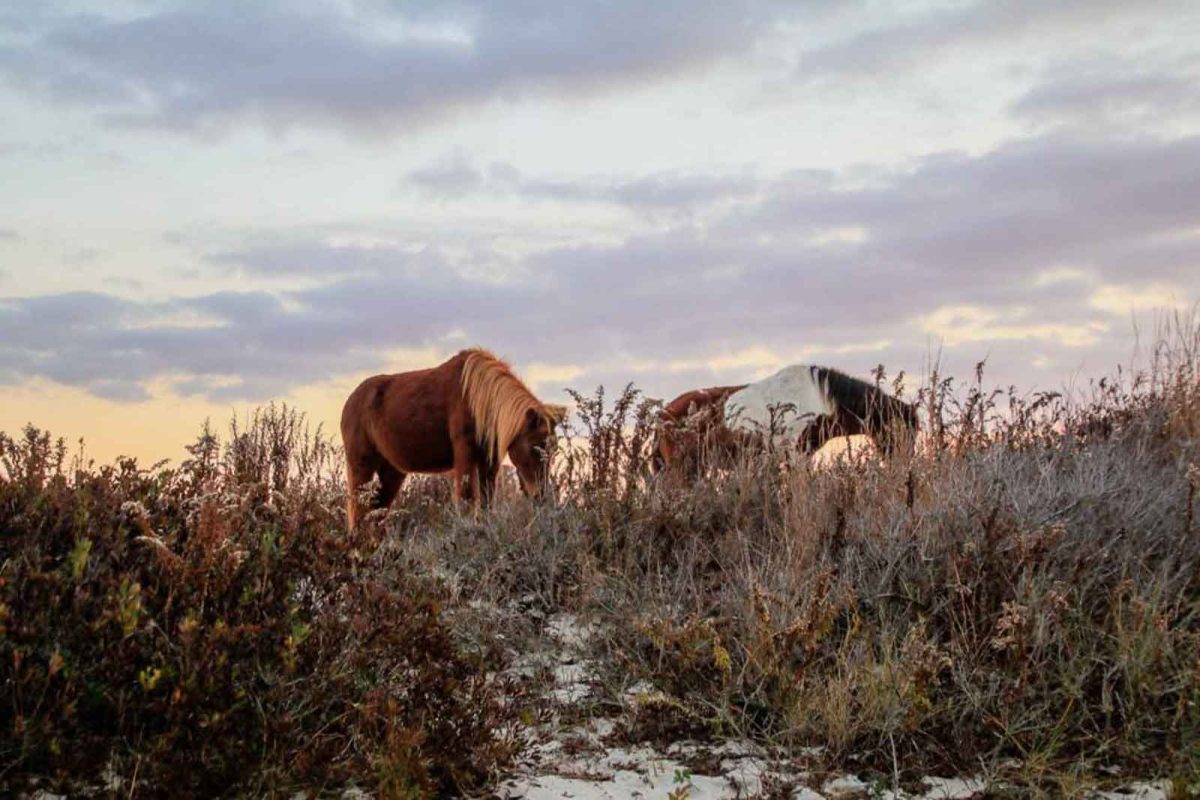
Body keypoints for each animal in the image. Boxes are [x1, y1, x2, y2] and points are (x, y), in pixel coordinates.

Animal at [340, 347, 568, 525]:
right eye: (534, 447)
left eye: (554, 449)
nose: (541, 496)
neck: (478, 399)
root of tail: (350, 402)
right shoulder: (464, 455)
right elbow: (466, 501)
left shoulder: (488, 461)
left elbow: (486, 501)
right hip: (362, 467)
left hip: (391, 471)